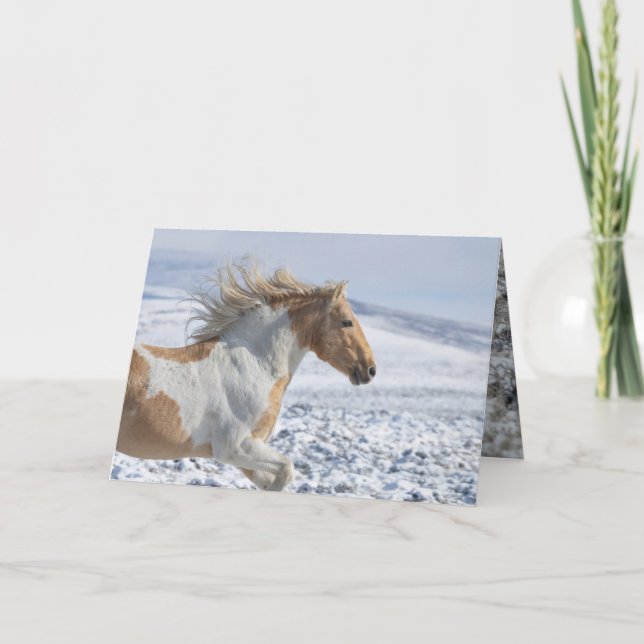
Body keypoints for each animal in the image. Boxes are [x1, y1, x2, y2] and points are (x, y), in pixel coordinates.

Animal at [116, 262, 376, 492]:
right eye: (347, 322)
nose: (370, 370)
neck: (255, 366)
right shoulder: (234, 447)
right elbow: (287, 470)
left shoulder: (248, 452)